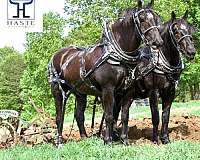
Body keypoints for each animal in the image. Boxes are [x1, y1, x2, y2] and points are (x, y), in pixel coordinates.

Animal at [47, 0, 163, 146]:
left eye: (156, 18)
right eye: (141, 19)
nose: (158, 42)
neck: (117, 55)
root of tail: (58, 55)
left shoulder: (128, 91)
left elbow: (124, 116)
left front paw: (125, 140)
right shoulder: (108, 90)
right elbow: (109, 116)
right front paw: (108, 141)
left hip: (80, 93)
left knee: (79, 115)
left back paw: (84, 138)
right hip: (57, 89)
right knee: (59, 116)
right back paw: (59, 141)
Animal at [108, 10, 196, 145]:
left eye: (189, 29)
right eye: (175, 31)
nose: (191, 51)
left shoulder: (170, 93)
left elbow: (165, 116)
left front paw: (165, 139)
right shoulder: (154, 92)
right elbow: (155, 117)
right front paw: (156, 140)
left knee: (119, 112)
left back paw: (117, 136)